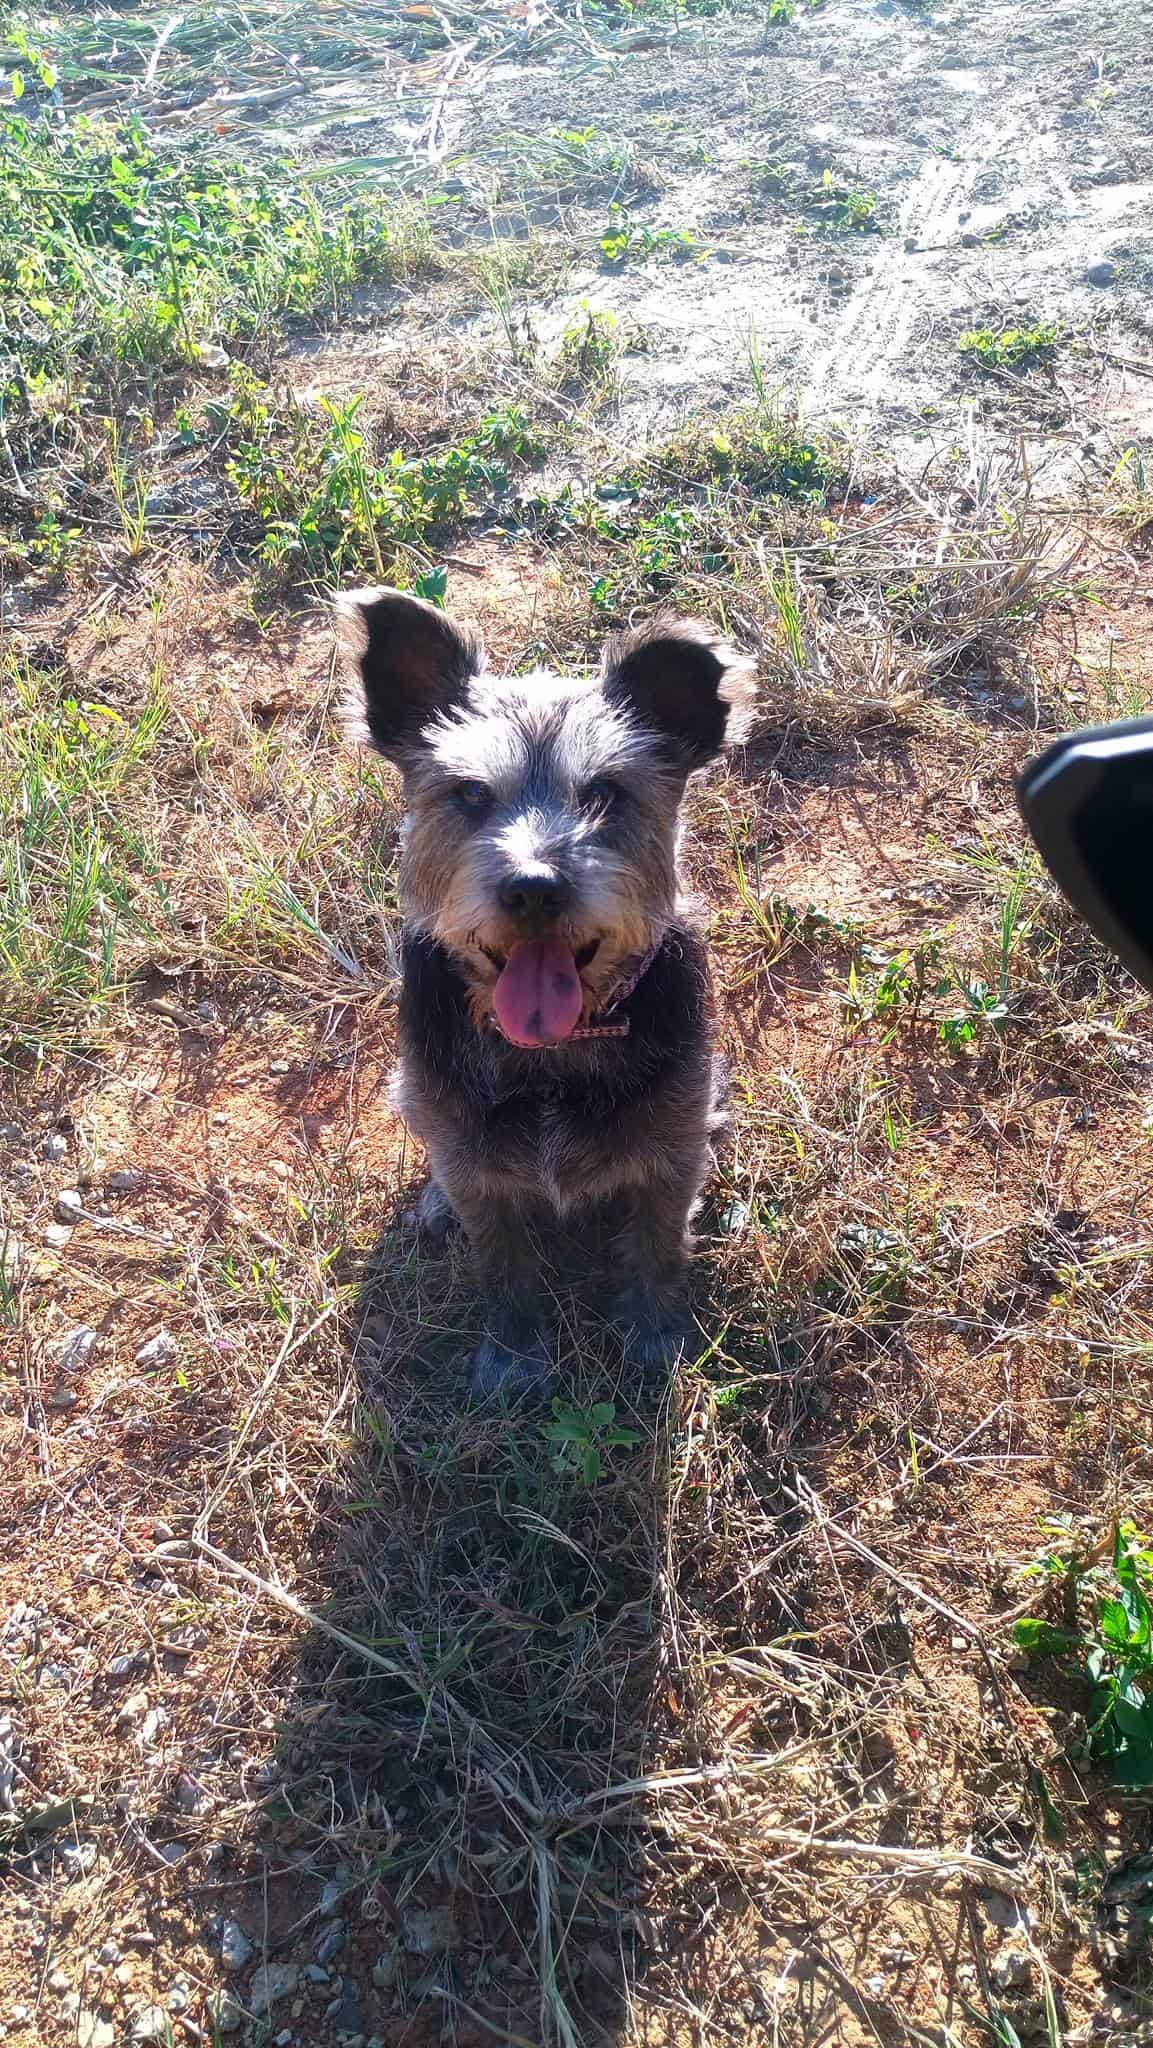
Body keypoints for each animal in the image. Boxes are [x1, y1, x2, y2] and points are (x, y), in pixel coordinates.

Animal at [342, 585, 757, 1400]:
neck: (551, 1057)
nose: (533, 887)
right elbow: (502, 1265)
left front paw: (656, 1335)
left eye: (604, 794)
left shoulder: (670, 1161)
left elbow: (658, 1246)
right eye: (471, 794)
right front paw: (513, 1352)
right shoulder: (478, 1177)